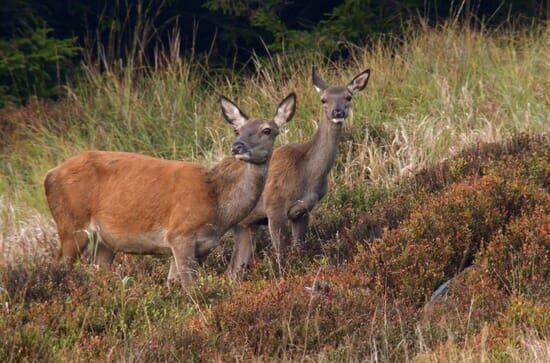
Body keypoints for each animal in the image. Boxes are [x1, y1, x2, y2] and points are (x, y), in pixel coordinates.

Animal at [43, 93, 298, 288]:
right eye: (238, 130)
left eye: (267, 130)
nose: (238, 147)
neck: (218, 203)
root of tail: (49, 175)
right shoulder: (180, 235)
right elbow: (190, 288)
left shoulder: (196, 247)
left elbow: (173, 285)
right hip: (71, 225)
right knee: (58, 266)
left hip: (105, 242)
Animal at [229, 66, 370, 276]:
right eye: (323, 99)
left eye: (348, 96)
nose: (338, 111)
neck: (307, 173)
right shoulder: (274, 207)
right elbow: (281, 254)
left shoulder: (303, 211)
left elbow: (299, 248)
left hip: (245, 226)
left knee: (233, 269)